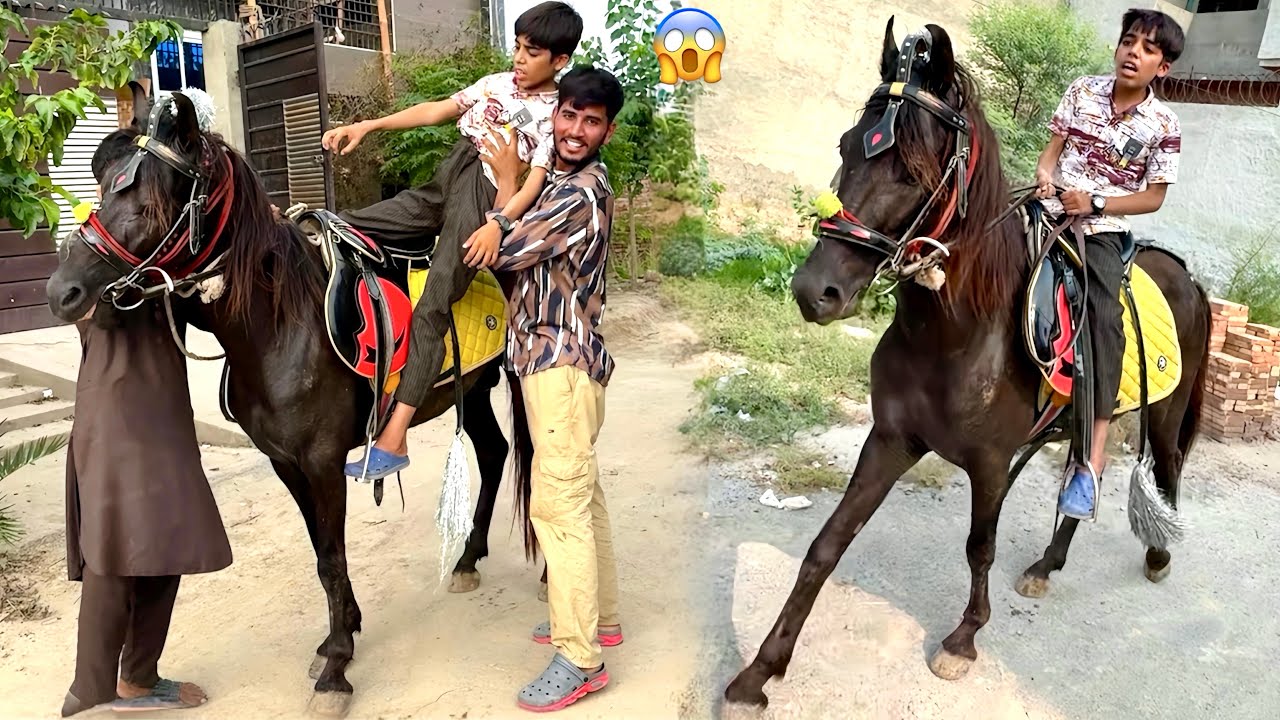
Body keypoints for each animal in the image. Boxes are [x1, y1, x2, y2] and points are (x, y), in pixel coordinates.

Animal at [45, 86, 537, 716]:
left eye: (149, 204)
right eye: (103, 190)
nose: (63, 292)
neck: (280, 326)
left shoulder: (323, 461)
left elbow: (332, 555)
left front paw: (336, 669)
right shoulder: (286, 463)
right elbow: (322, 553)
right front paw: (343, 631)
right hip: (470, 390)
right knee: (495, 452)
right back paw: (469, 558)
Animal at [724, 19, 1210, 707]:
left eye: (911, 170)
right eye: (847, 146)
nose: (815, 291)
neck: (954, 338)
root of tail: (1187, 276)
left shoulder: (989, 462)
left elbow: (980, 547)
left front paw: (963, 640)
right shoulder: (891, 439)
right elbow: (827, 544)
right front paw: (759, 673)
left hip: (1165, 414)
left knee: (1165, 470)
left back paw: (1159, 554)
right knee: (1083, 472)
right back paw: (1048, 564)